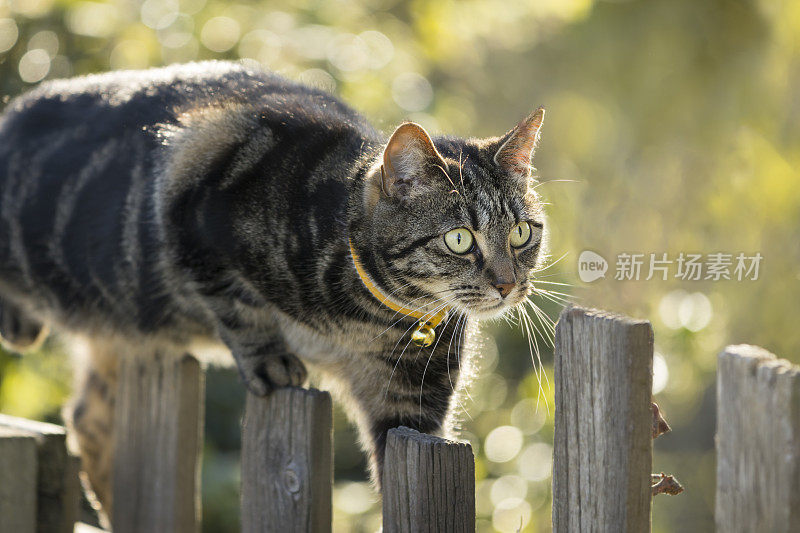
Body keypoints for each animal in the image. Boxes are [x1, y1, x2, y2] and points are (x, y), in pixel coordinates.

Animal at [0, 60, 548, 516]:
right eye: (459, 239)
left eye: (522, 232)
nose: (508, 285)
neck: (365, 319)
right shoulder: (193, 198)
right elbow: (236, 305)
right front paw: (271, 358)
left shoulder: (412, 407)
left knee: (87, 420)